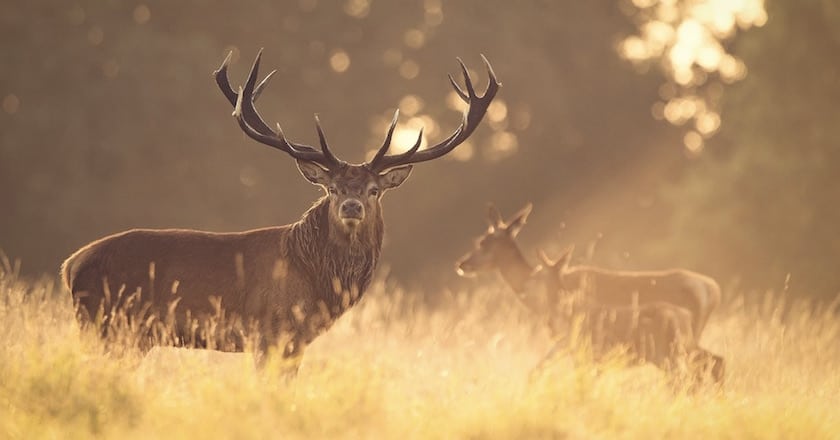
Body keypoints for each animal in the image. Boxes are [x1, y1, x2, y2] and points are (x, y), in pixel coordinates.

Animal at [64, 50, 506, 360]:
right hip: (109, 325)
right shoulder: (270, 332)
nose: (351, 207)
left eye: (373, 190)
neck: (318, 282)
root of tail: (71, 265)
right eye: (331, 189)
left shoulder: (295, 341)